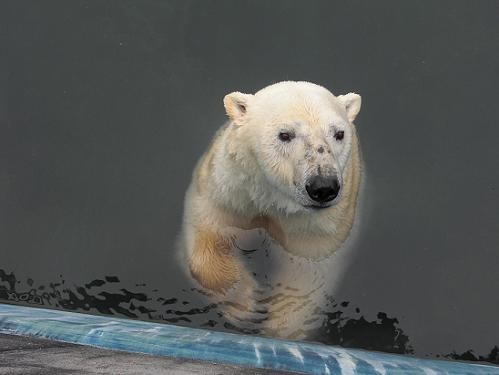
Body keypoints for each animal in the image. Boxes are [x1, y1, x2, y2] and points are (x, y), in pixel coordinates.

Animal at [179, 81, 364, 334]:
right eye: (284, 134)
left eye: (339, 133)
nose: (323, 186)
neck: (275, 197)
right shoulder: (231, 188)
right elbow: (209, 231)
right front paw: (247, 303)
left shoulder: (320, 224)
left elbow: (305, 276)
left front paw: (276, 326)